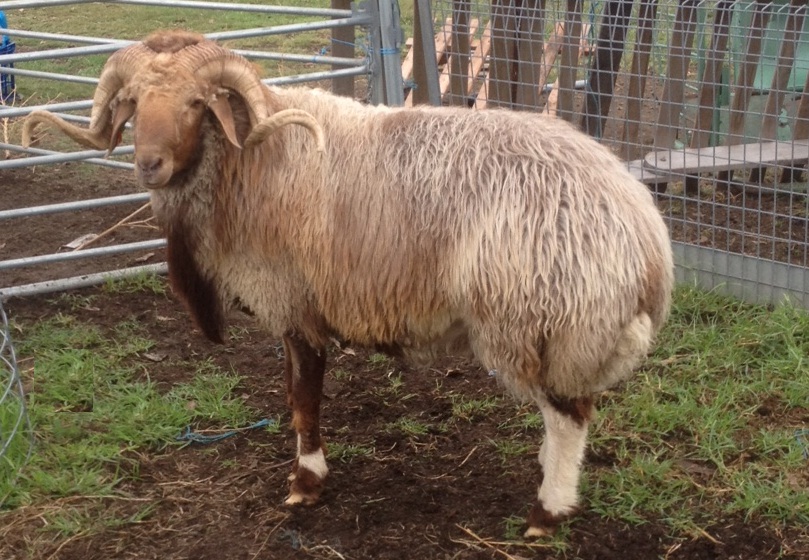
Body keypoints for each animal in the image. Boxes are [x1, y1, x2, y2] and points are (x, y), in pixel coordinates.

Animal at [23, 29, 674, 537]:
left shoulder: (294, 301)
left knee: (569, 416)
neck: (248, 161)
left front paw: (305, 482)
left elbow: (303, 397)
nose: (148, 166)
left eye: (195, 102)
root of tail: (646, 237)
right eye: (132, 102)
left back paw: (547, 511)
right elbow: (296, 396)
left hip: (541, 319)